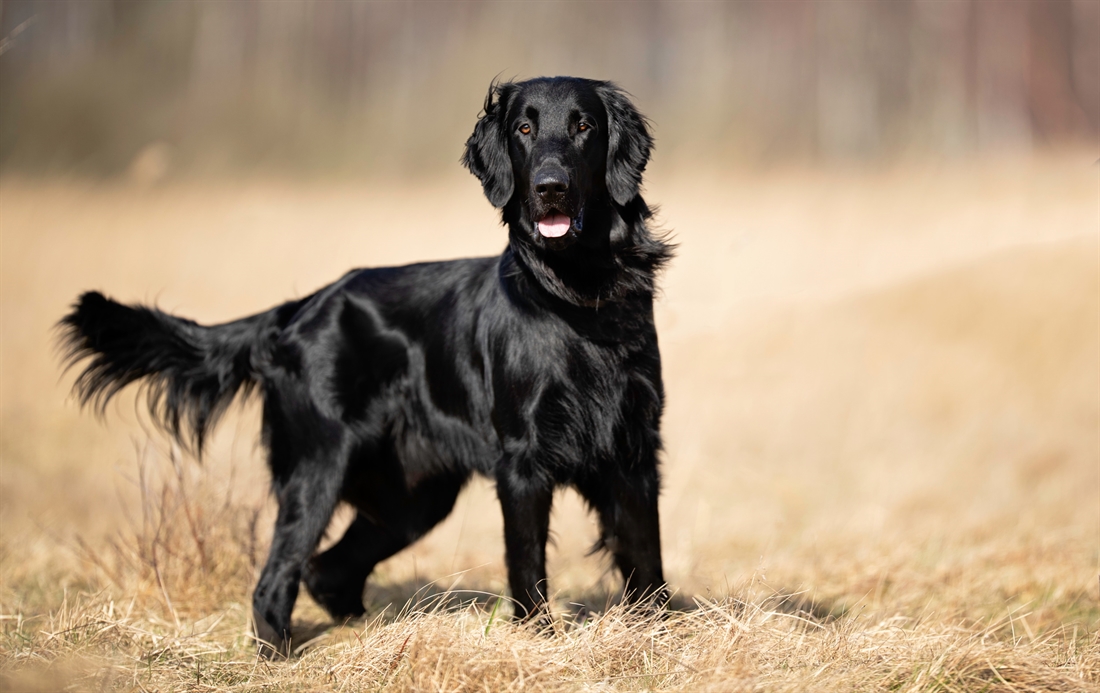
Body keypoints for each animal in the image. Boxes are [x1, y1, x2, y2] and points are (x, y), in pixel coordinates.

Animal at [66, 75, 677, 655]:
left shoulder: (635, 450)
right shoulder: (523, 462)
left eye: (583, 126)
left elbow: (646, 554)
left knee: (326, 569)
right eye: (524, 130)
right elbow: (527, 564)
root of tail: (299, 307)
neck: (578, 297)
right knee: (277, 577)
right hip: (319, 466)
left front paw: (658, 632)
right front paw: (538, 643)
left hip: (412, 496)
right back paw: (280, 652)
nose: (550, 188)